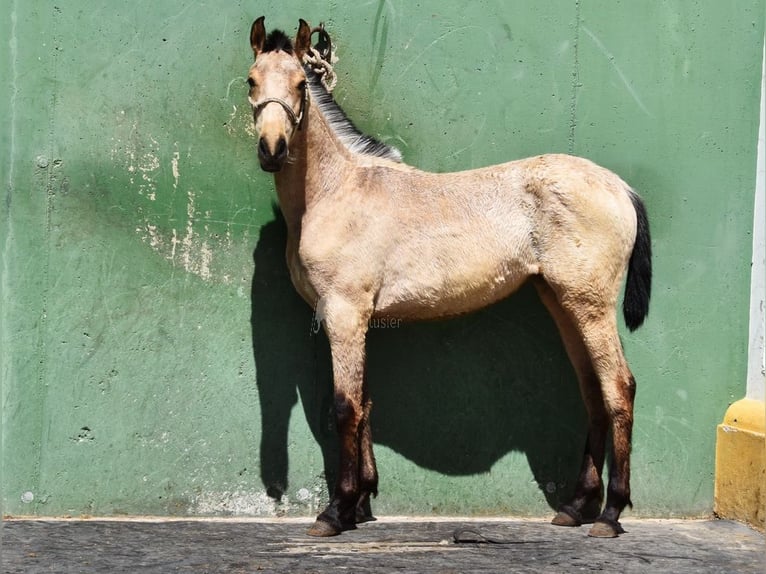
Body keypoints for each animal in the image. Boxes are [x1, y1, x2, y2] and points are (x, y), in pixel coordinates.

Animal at [246, 16, 656, 540]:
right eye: (251, 81)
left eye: (301, 83)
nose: (272, 150)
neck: (337, 191)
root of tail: (619, 187)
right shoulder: (357, 320)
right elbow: (365, 403)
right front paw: (361, 504)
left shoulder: (344, 312)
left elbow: (345, 406)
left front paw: (336, 512)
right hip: (564, 302)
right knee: (593, 390)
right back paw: (576, 506)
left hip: (591, 305)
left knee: (618, 387)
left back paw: (610, 514)